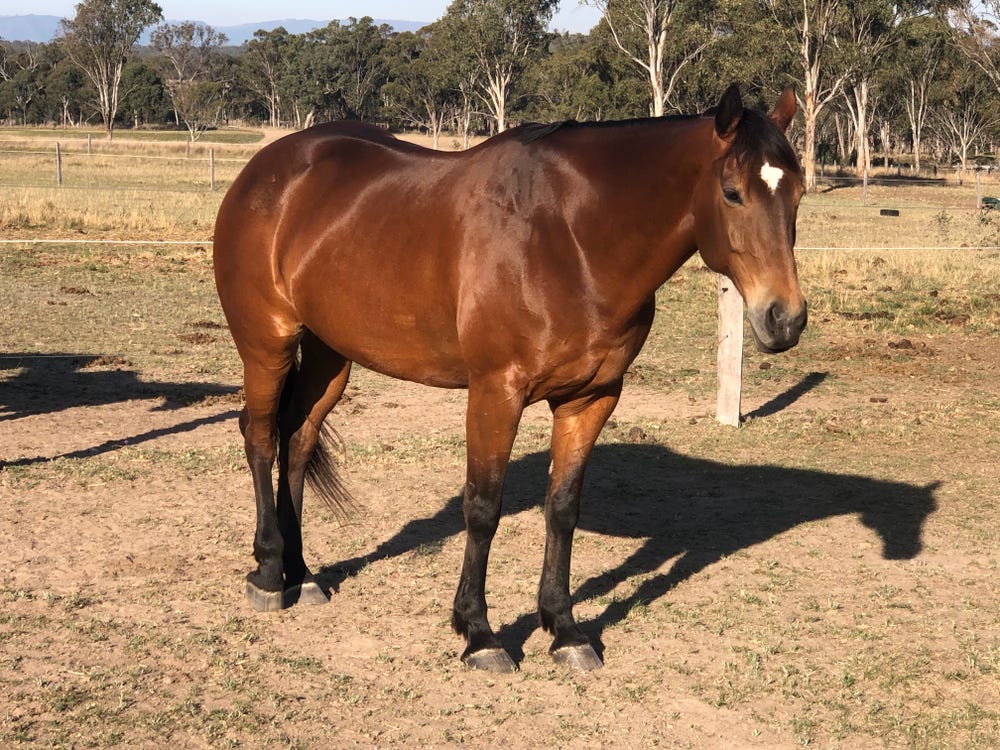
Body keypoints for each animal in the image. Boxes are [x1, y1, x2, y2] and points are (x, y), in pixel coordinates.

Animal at [213, 84, 807, 673]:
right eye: (732, 193)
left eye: (799, 193)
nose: (785, 318)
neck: (571, 239)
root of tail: (266, 169)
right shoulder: (496, 393)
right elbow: (483, 508)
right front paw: (478, 633)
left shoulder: (591, 399)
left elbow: (562, 510)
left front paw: (564, 629)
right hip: (267, 346)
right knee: (260, 438)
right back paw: (269, 574)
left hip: (329, 354)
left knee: (297, 439)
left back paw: (301, 574)